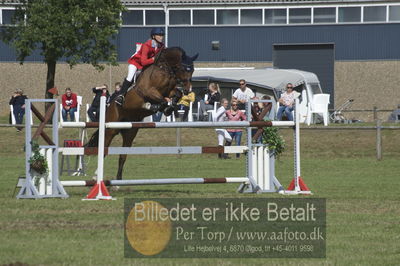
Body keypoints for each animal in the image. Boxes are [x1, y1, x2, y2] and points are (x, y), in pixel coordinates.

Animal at [86, 47, 198, 180]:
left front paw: (167, 108)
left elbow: (175, 95)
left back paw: (118, 180)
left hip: (130, 132)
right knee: (104, 149)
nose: (187, 89)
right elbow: (162, 99)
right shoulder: (148, 91)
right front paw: (154, 106)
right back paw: (96, 176)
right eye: (183, 69)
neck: (164, 69)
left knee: (123, 156)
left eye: (192, 70)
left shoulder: (170, 91)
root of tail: (109, 105)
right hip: (110, 129)